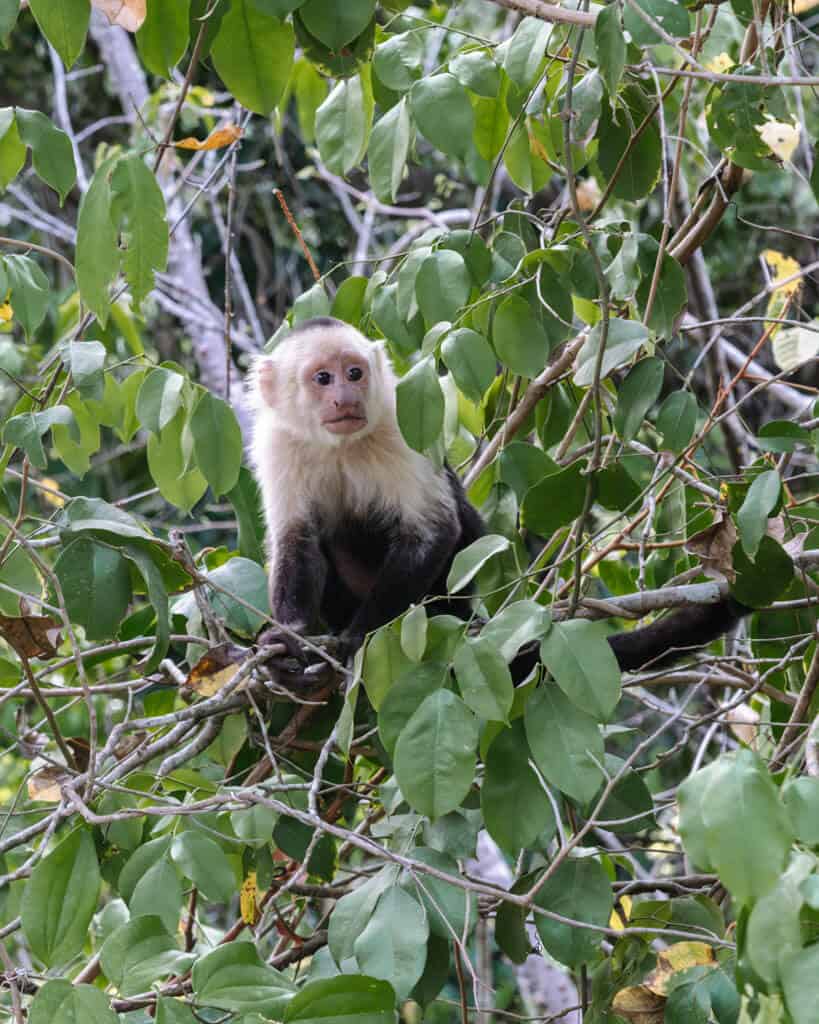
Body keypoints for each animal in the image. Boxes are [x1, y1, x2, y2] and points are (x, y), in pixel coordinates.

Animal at [250, 316, 746, 671]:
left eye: (354, 373)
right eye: (322, 379)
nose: (346, 398)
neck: (341, 444)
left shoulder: (397, 420)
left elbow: (433, 531)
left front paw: (361, 637)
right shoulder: (277, 443)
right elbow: (297, 540)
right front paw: (289, 636)